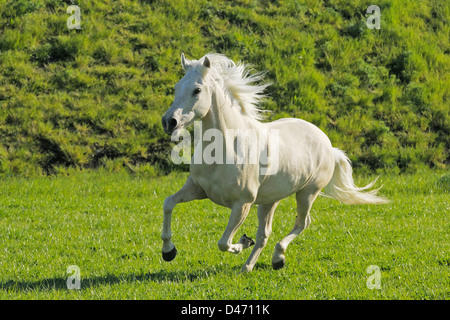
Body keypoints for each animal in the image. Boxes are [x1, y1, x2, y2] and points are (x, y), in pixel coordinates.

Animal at [160, 53, 388, 272]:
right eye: (177, 87)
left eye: (197, 90)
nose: (169, 121)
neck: (225, 148)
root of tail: (329, 146)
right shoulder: (198, 189)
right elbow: (168, 203)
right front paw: (168, 251)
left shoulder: (242, 203)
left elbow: (224, 243)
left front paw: (242, 243)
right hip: (269, 201)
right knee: (264, 234)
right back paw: (247, 267)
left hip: (307, 193)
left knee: (301, 223)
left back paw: (278, 258)